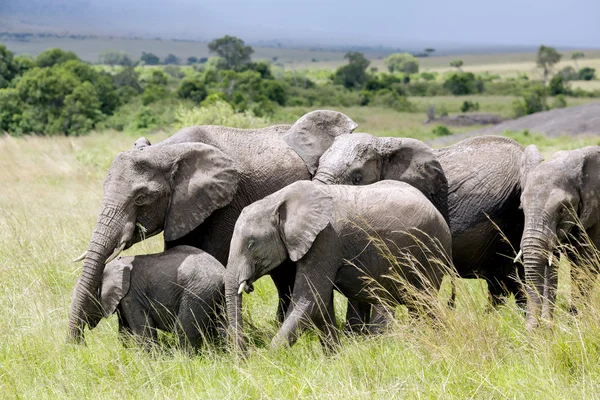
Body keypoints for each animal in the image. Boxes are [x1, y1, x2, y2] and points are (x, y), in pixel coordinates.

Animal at [89, 245, 227, 352]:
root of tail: (223, 272)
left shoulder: (131, 296)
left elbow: (144, 331)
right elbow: (124, 331)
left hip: (198, 291)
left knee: (182, 330)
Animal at [225, 181, 450, 354]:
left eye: (251, 244)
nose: (244, 358)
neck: (278, 200)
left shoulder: (325, 238)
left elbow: (310, 298)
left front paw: (268, 358)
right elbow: (321, 303)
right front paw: (335, 357)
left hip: (431, 250)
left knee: (425, 301)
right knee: (418, 304)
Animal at [516, 144, 600, 328]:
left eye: (562, 209)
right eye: (522, 208)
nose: (531, 329)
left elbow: (587, 265)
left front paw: (576, 324)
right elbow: (551, 266)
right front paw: (549, 328)